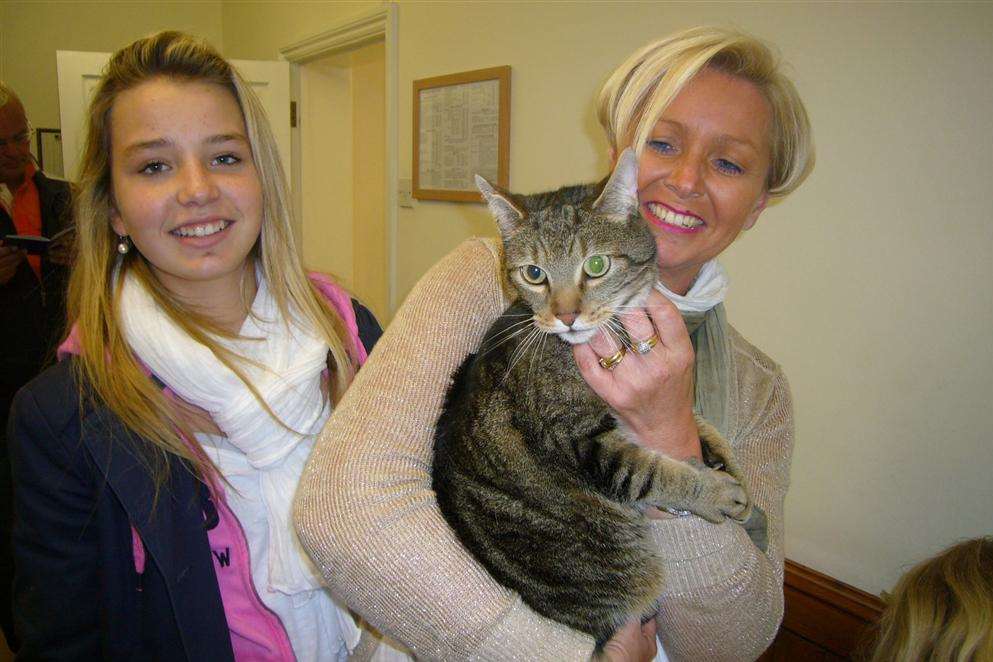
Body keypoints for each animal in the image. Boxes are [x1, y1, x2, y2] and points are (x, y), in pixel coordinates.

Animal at [432, 149, 752, 648]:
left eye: (597, 266)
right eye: (534, 274)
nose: (566, 316)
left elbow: (699, 423)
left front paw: (725, 458)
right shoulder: (581, 440)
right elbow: (652, 472)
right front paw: (713, 490)